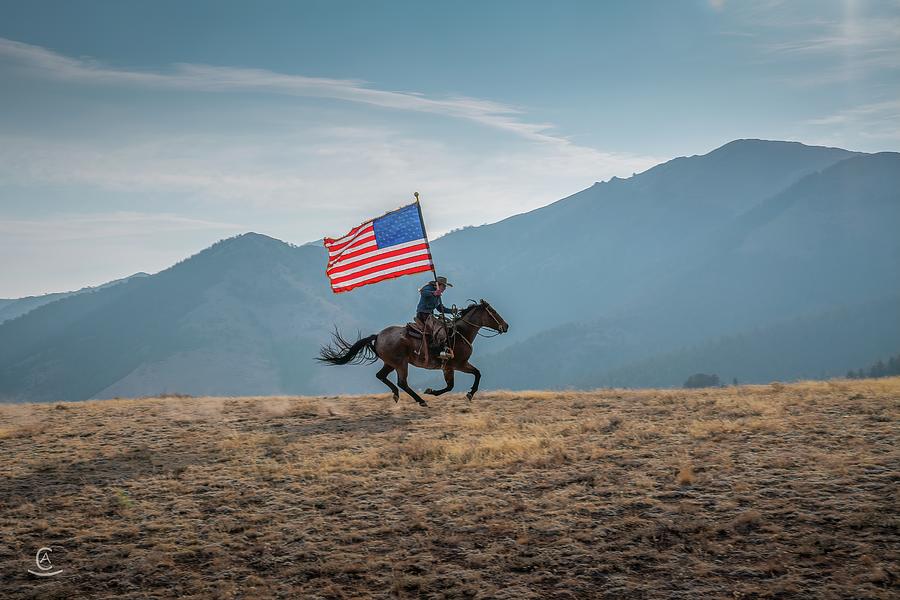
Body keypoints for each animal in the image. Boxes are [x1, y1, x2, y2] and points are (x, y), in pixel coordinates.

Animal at [318, 300, 510, 408]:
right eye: (493, 312)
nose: (506, 326)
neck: (460, 333)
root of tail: (378, 336)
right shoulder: (456, 365)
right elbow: (456, 383)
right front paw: (433, 392)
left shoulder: (455, 366)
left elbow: (473, 375)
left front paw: (469, 394)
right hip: (401, 364)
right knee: (402, 382)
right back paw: (420, 400)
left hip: (390, 363)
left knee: (381, 376)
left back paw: (396, 395)